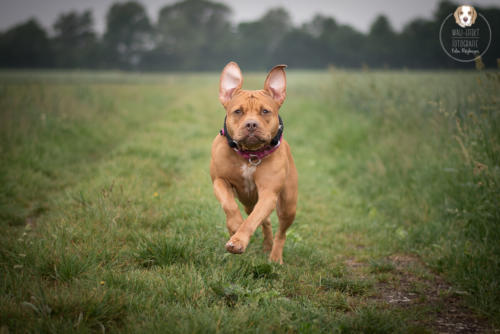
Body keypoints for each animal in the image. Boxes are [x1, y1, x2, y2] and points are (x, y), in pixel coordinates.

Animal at [210, 62, 296, 264]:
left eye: (265, 111)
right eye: (238, 111)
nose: (251, 124)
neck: (250, 154)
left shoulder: (268, 193)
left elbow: (252, 221)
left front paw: (238, 241)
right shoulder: (219, 181)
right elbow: (229, 205)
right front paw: (234, 226)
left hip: (288, 205)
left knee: (281, 232)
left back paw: (275, 257)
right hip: (249, 202)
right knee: (266, 221)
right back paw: (266, 244)